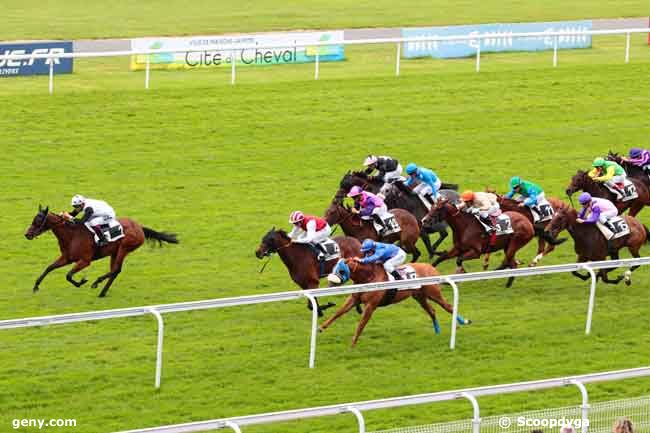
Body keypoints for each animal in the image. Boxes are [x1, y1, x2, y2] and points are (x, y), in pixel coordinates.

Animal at [24, 206, 177, 296]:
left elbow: (68, 275)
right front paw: (36, 286)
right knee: (115, 271)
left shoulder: (85, 261)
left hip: (124, 248)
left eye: (38, 220)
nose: (27, 234)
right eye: (34, 219)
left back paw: (97, 282)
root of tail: (139, 227)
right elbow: (49, 268)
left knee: (116, 270)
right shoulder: (67, 258)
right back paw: (102, 292)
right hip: (115, 252)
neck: (72, 235)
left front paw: (81, 282)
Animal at [316, 258, 468, 346]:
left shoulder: (370, 306)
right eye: (334, 267)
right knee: (432, 310)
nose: (330, 282)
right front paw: (321, 327)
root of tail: (430, 267)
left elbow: (361, 324)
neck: (369, 277)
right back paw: (437, 330)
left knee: (448, 306)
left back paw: (464, 321)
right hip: (419, 297)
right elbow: (338, 312)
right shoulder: (354, 299)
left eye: (341, 270)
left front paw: (353, 343)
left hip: (433, 293)